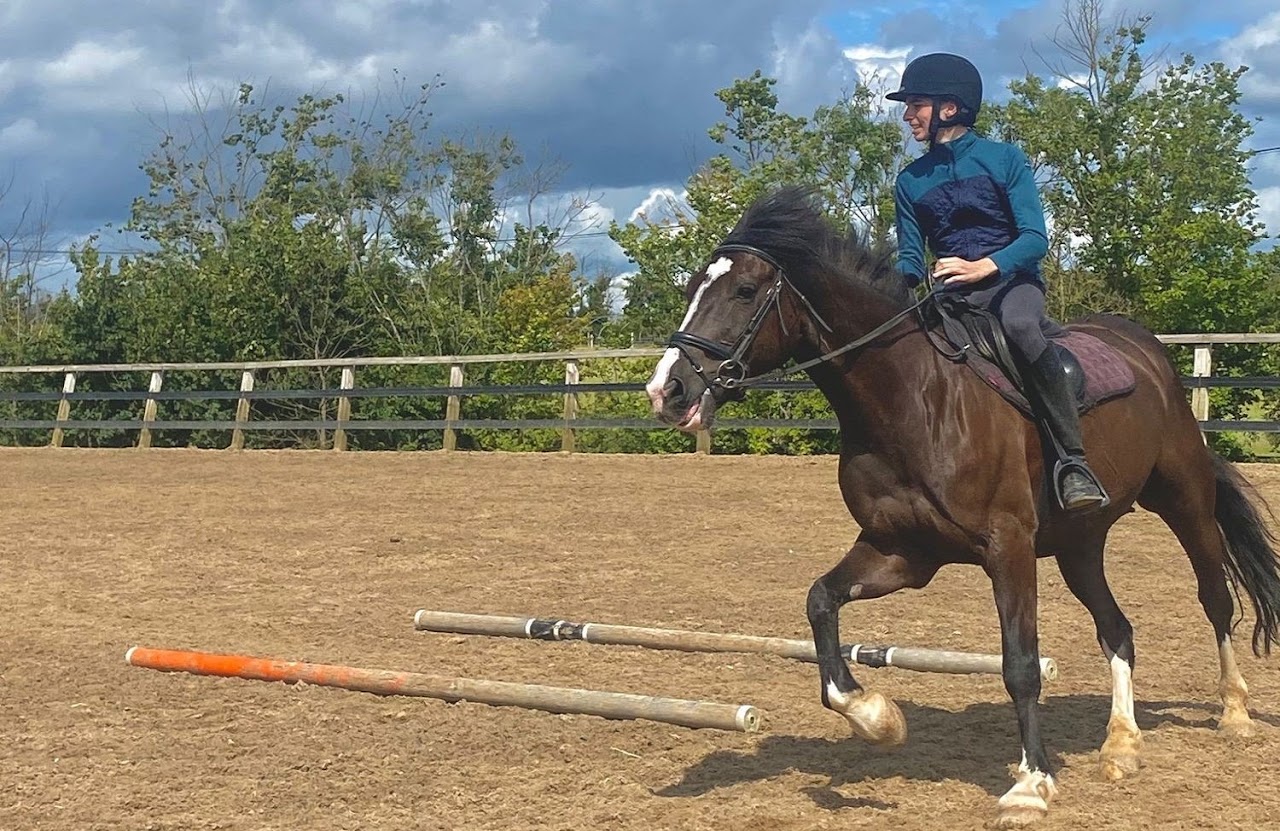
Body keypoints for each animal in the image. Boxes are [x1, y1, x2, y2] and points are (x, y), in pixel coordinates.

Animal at [643, 186, 1280, 828]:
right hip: (1079, 545)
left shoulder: (1009, 549)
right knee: (1116, 629)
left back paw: (1234, 712)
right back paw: (1121, 746)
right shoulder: (901, 552)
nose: (666, 391)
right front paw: (876, 717)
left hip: (1184, 502)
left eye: (745, 291)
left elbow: (1020, 664)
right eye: (693, 286)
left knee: (1215, 600)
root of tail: (1149, 353)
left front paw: (1032, 782)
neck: (910, 399)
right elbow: (821, 601)